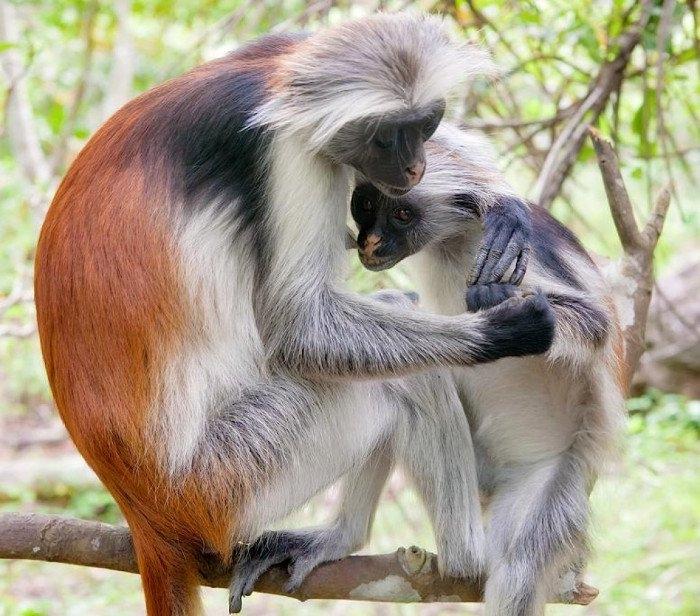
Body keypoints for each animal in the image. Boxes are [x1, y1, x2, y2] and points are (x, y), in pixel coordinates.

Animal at [37, 14, 552, 616]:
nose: (414, 166)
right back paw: (465, 560)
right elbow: (298, 328)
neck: (269, 88)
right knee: (404, 380)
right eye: (387, 135)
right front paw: (502, 332)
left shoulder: (286, 61)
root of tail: (145, 513)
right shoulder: (287, 153)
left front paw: (495, 195)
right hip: (229, 478)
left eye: (426, 125)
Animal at [352, 124, 628, 616]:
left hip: (551, 479)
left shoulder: (521, 255)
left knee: (519, 565)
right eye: (365, 204)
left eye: (401, 213)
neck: (454, 239)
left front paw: (502, 301)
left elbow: (596, 324)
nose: (370, 242)